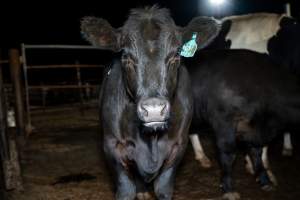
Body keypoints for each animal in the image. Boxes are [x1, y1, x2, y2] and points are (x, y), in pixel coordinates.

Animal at [81, 6, 219, 200]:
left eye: (176, 56)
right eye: (126, 57)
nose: (154, 109)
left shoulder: (178, 146)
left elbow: (164, 188)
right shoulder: (112, 146)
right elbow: (126, 190)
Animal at [186, 48, 300, 200]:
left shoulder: (253, 129)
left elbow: (257, 152)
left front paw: (264, 180)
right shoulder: (224, 121)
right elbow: (229, 154)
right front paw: (229, 189)